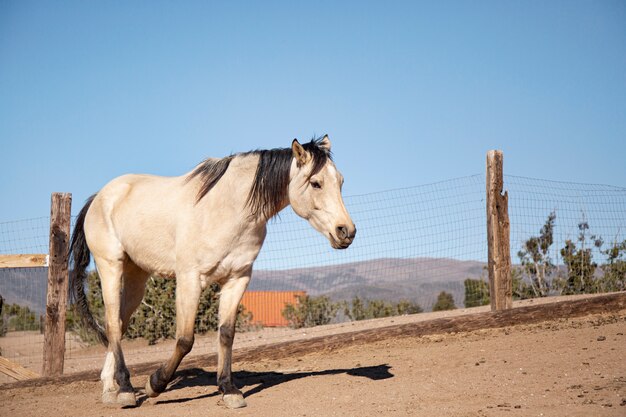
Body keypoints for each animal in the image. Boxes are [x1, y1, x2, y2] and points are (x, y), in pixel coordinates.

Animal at [69, 136, 356, 406]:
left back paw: (111, 389)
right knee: (112, 325)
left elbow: (226, 334)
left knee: (117, 324)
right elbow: (185, 339)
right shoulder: (190, 280)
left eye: (341, 181)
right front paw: (155, 384)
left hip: (136, 276)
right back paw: (126, 389)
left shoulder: (237, 279)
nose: (346, 231)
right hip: (110, 266)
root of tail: (100, 196)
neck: (228, 209)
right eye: (316, 183)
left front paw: (229, 390)